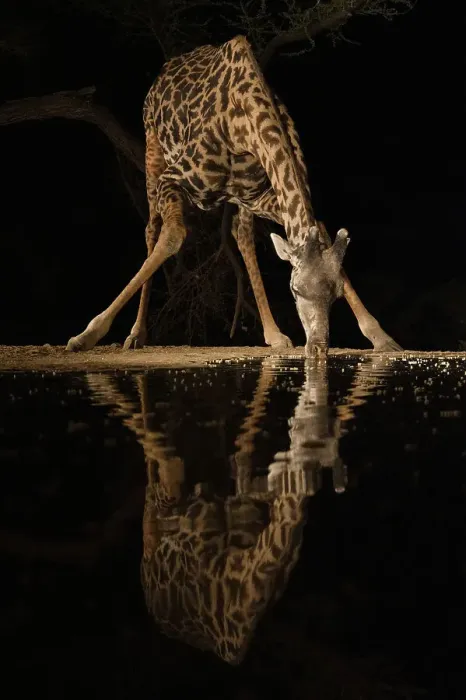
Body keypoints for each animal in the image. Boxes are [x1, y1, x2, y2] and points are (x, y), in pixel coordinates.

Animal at [66, 35, 401, 358]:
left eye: (336, 294)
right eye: (295, 291)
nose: (318, 348)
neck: (244, 129)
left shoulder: (261, 196)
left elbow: (317, 224)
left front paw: (382, 337)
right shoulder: (172, 178)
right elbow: (172, 236)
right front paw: (86, 335)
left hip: (241, 198)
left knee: (242, 234)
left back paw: (273, 334)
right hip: (153, 149)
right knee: (152, 229)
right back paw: (136, 334)